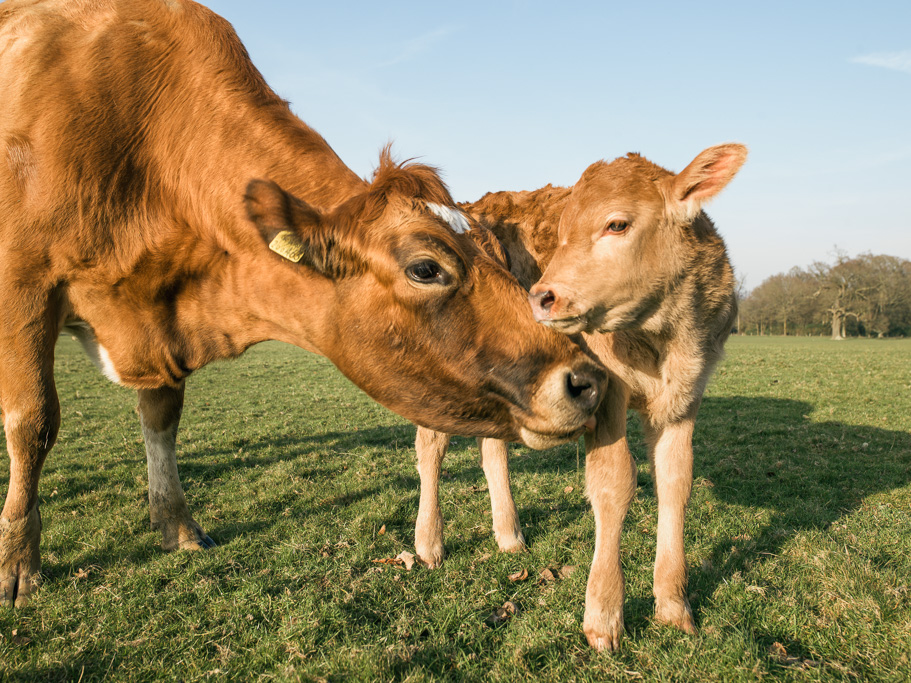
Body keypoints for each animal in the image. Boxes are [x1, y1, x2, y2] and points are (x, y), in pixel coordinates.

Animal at [0, 0, 606, 608]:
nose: (586, 380)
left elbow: (161, 418)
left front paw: (176, 525)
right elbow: (33, 421)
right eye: (425, 268)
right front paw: (17, 564)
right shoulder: (22, 285)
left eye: (497, 257)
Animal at [413, 144, 747, 650]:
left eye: (617, 224)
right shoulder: (604, 390)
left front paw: (673, 605)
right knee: (431, 445)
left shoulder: (685, 398)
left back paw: (508, 533)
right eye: (561, 233)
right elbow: (613, 482)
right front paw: (604, 614)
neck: (666, 340)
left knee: (493, 449)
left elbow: (676, 482)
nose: (541, 297)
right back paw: (428, 542)